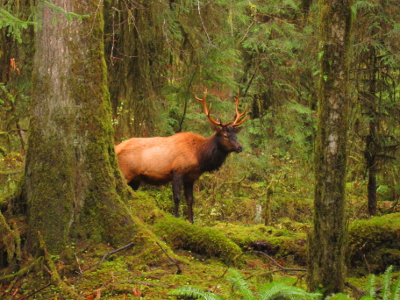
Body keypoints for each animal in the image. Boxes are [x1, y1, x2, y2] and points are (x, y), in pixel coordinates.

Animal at [115, 91, 247, 223]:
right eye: (225, 135)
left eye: (235, 135)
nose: (240, 147)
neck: (199, 156)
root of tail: (116, 147)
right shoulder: (177, 170)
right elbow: (177, 197)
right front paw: (176, 217)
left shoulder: (191, 177)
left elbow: (190, 200)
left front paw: (191, 222)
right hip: (126, 172)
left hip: (136, 178)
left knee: (130, 194)